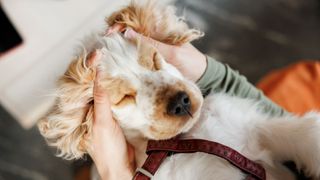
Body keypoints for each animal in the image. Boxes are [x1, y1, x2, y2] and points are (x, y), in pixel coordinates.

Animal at [38, 1, 320, 179]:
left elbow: (307, 133)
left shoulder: (256, 126)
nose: (181, 102)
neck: (186, 140)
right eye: (123, 97)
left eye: (153, 59)